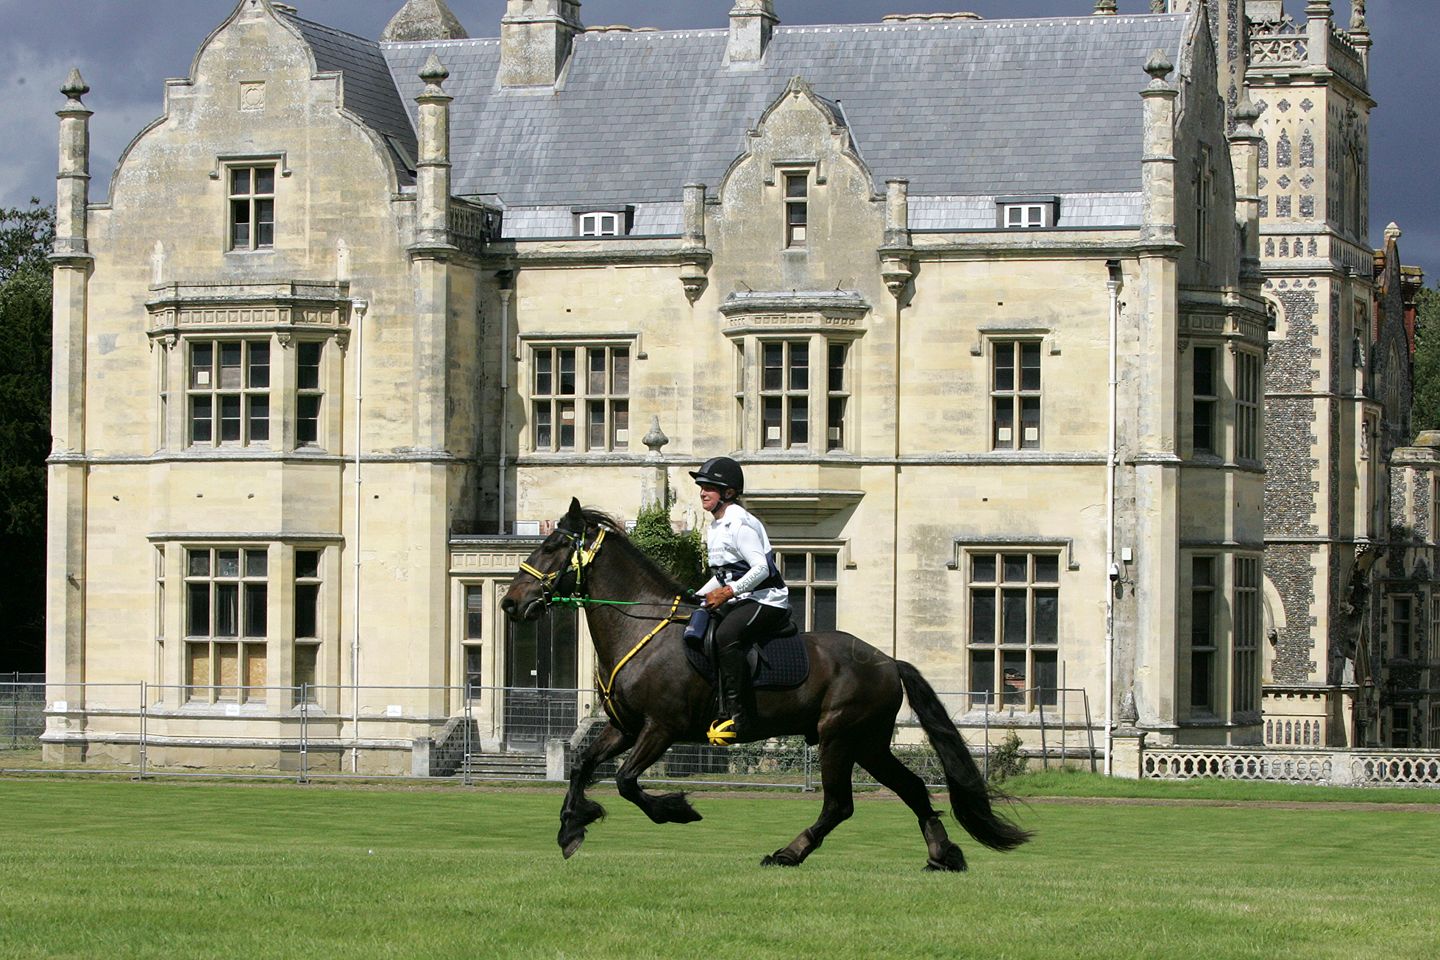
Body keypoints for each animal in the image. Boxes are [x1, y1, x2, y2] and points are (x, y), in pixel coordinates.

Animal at [499, 498, 1032, 870]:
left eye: (552, 546)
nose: (509, 602)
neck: (640, 629)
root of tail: (887, 661)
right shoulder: (624, 727)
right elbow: (582, 766)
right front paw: (571, 829)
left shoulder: (660, 729)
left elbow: (628, 782)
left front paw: (676, 810)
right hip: (868, 743)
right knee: (914, 789)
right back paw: (943, 855)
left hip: (840, 738)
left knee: (839, 804)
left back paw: (789, 853)